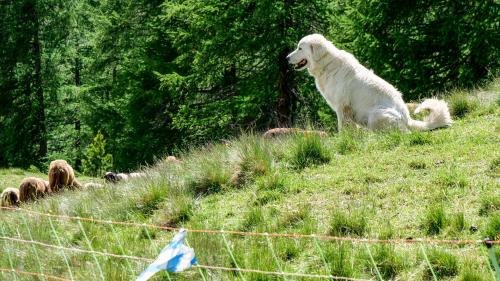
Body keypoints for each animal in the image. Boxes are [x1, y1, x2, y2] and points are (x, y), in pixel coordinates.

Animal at [286, 34, 454, 131]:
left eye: (300, 48)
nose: (286, 58)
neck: (327, 65)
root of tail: (407, 119)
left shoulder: (342, 108)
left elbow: (342, 128)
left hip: (376, 115)